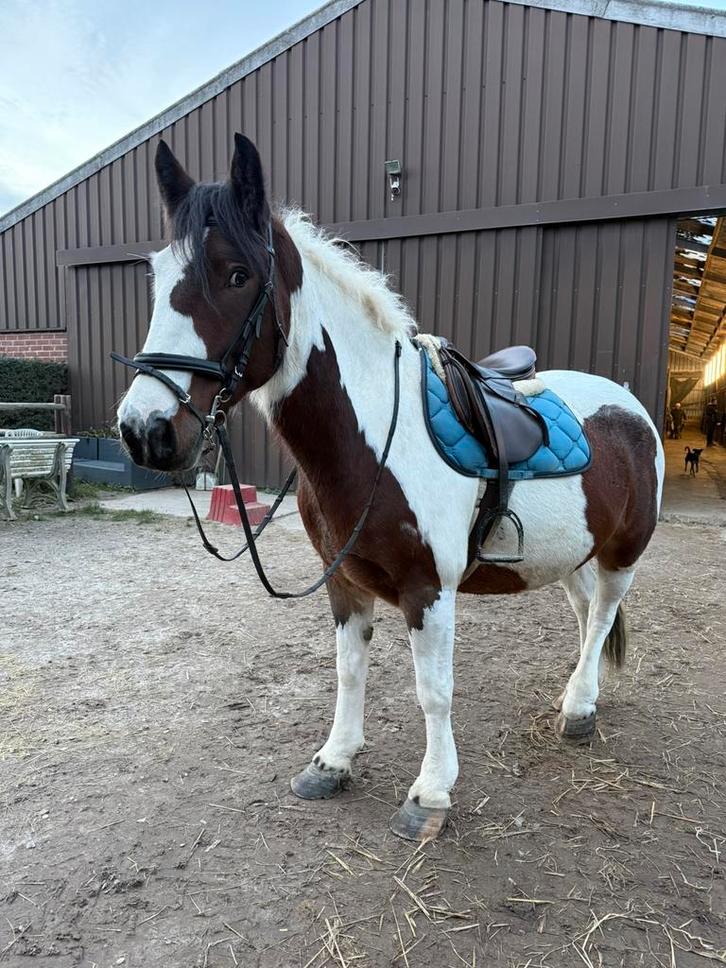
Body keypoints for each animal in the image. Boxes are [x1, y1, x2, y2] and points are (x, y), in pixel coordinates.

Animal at [116, 134, 664, 841]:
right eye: (159, 277)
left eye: (236, 274)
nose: (145, 430)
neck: (374, 434)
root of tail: (628, 403)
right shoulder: (345, 582)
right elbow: (349, 671)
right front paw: (334, 760)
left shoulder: (427, 589)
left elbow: (433, 691)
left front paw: (430, 793)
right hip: (569, 552)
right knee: (583, 610)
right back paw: (577, 694)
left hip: (624, 551)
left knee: (602, 614)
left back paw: (579, 710)